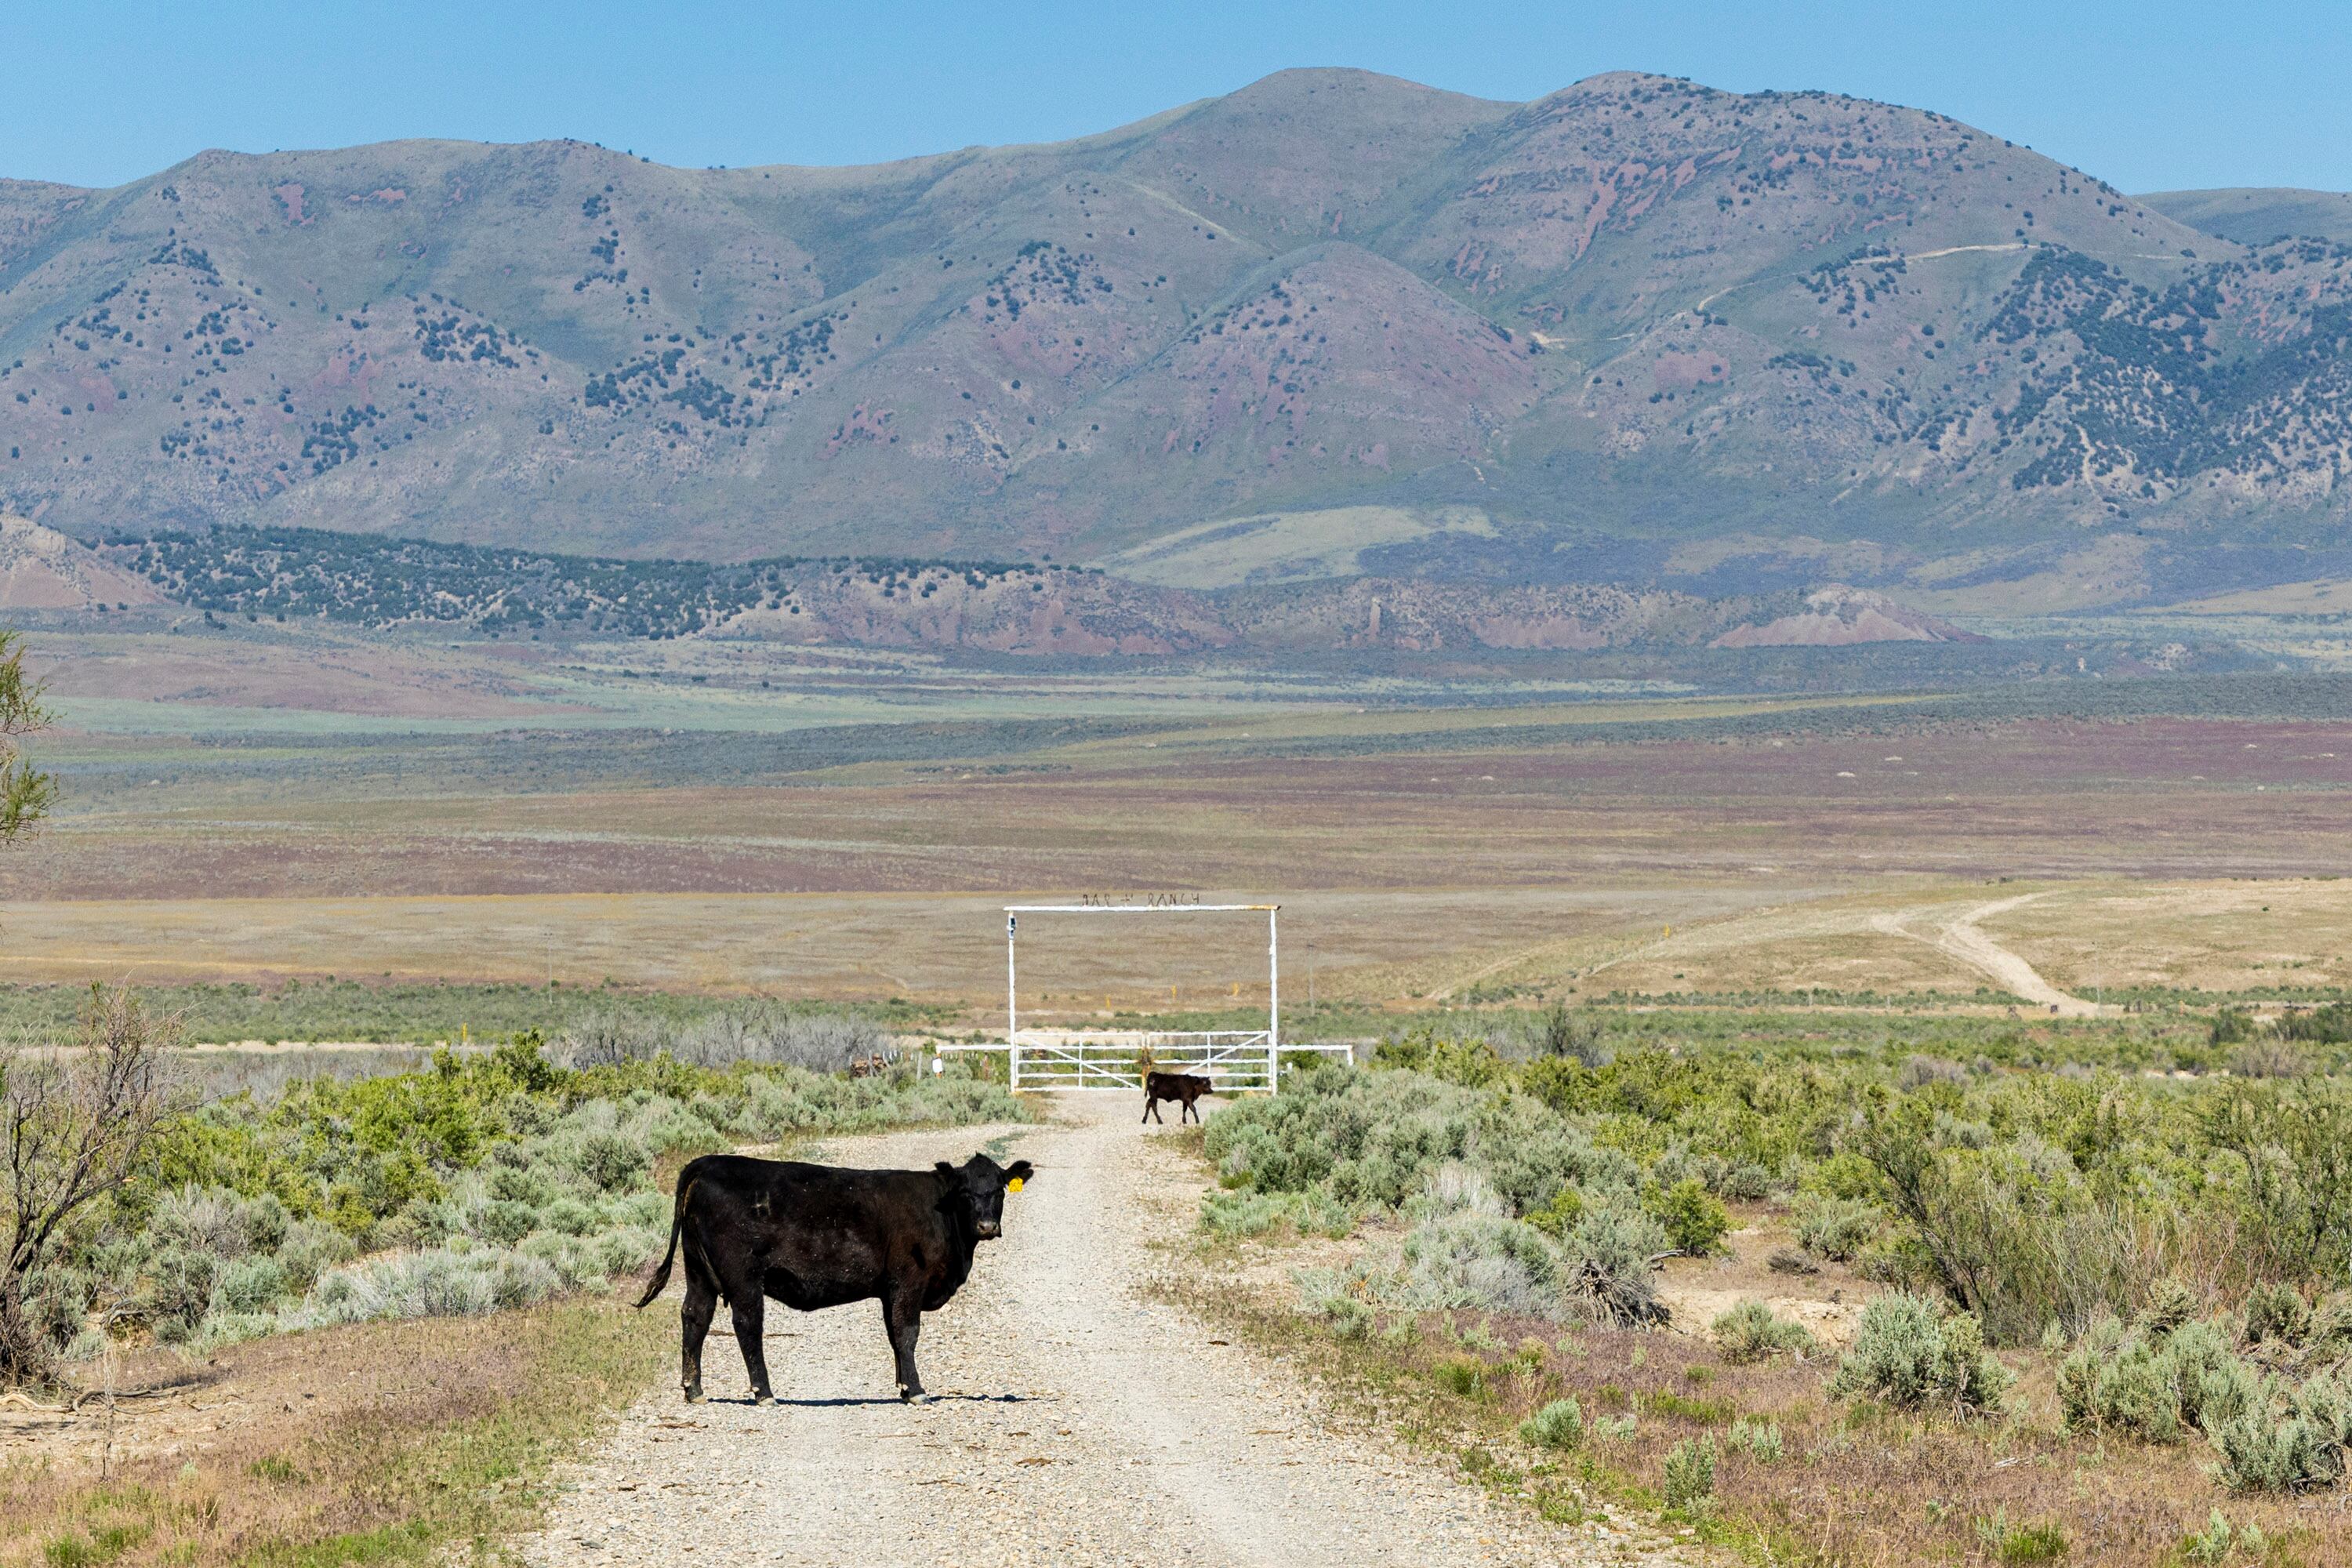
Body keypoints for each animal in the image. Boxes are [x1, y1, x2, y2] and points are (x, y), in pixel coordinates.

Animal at [634, 1150, 1034, 1404]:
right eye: (965, 1192)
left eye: (999, 1189)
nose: (987, 1226)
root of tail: (707, 1163)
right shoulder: (907, 1282)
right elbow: (907, 1333)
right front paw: (918, 1391)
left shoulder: (889, 1291)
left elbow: (894, 1337)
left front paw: (904, 1387)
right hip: (742, 1275)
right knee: (747, 1325)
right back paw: (764, 1393)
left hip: (698, 1270)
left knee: (695, 1317)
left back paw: (694, 1390)